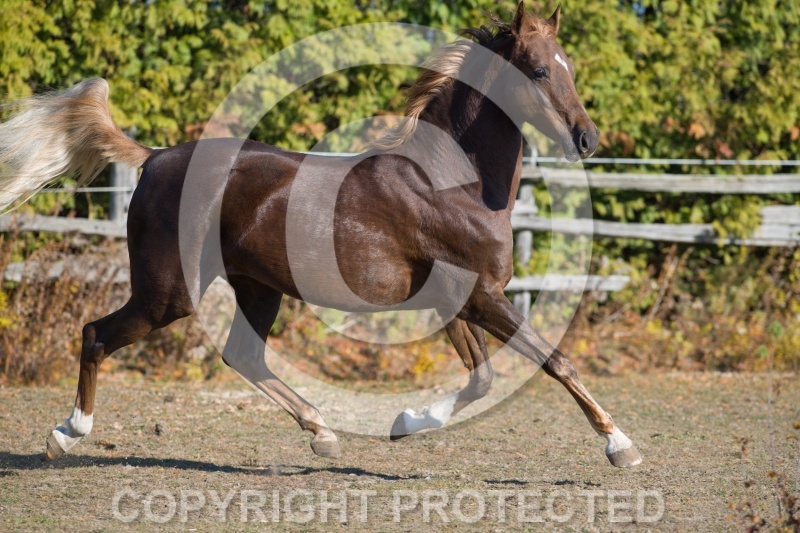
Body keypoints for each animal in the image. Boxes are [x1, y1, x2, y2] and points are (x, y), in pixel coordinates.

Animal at [0, 3, 642, 468]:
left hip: (258, 288)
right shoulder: (482, 296)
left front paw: (406, 424)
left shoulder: (457, 301)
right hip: (168, 293)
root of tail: (155, 157)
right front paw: (621, 446)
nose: (587, 139)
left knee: (243, 356)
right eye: (538, 71)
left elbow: (482, 378)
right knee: (96, 334)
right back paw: (67, 434)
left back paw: (323, 433)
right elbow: (556, 362)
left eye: (569, 67)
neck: (451, 183)